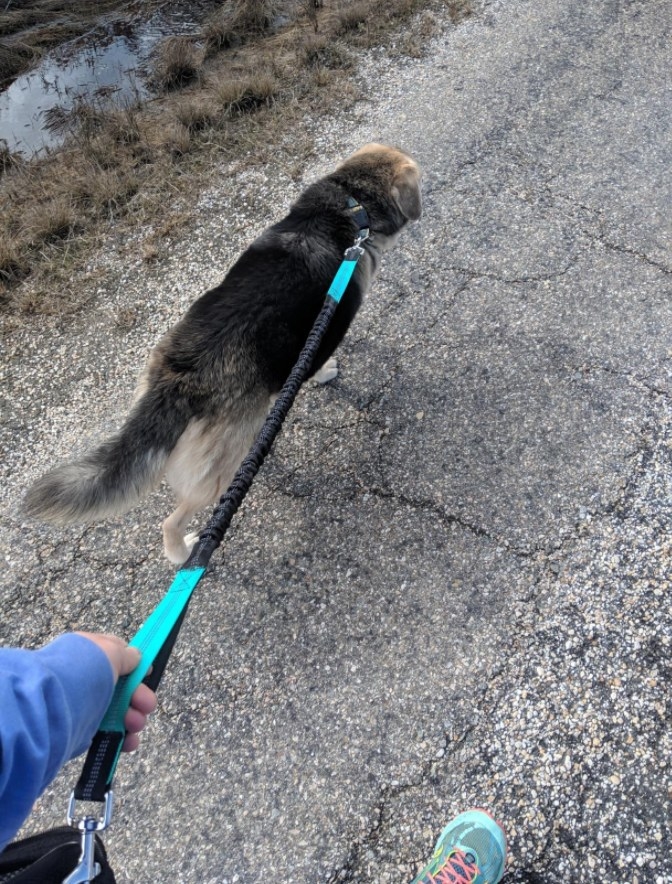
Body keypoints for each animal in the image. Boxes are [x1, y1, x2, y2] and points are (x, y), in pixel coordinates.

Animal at [26, 143, 422, 560]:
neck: (350, 203)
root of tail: (178, 377)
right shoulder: (323, 327)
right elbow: (314, 363)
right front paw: (325, 372)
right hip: (216, 471)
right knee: (172, 521)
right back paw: (182, 551)